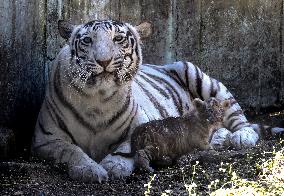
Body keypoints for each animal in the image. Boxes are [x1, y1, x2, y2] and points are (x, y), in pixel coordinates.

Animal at [31, 19, 284, 182]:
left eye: (118, 38)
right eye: (86, 40)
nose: (103, 61)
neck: (98, 99)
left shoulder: (143, 126)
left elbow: (127, 147)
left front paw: (114, 165)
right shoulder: (46, 139)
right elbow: (71, 151)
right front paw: (90, 170)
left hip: (198, 76)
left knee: (237, 117)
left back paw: (241, 136)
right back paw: (220, 138)